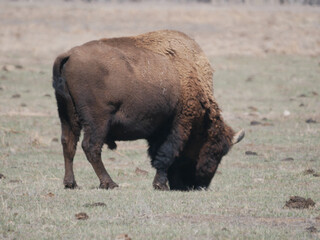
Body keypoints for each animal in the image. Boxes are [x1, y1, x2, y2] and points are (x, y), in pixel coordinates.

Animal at [52, 29, 244, 191]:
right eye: (215, 152)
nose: (199, 185)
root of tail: (68, 55)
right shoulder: (178, 125)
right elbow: (166, 154)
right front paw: (160, 185)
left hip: (67, 116)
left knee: (68, 144)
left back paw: (71, 183)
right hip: (97, 121)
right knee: (91, 147)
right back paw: (110, 183)